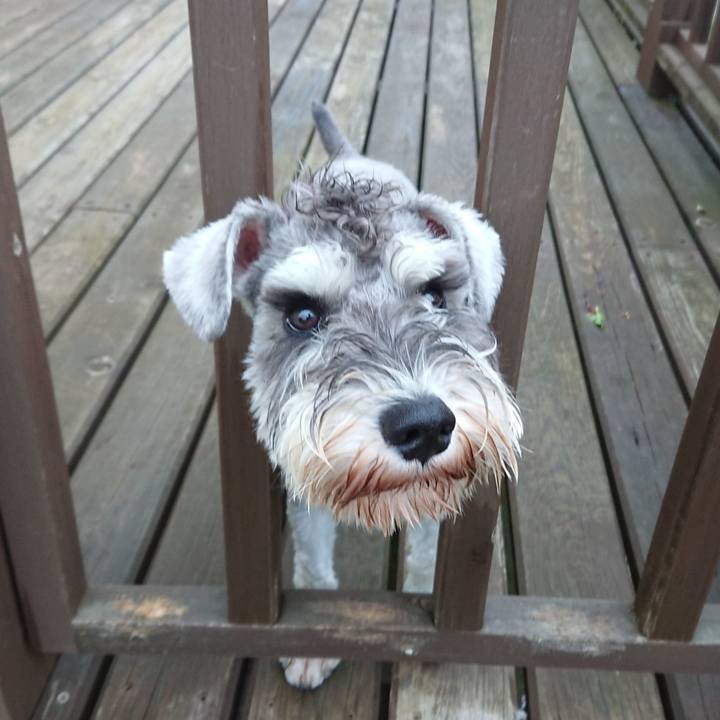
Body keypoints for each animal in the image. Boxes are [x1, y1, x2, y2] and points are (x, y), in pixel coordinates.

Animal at [163, 102, 522, 689]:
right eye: (302, 315)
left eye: (434, 294)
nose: (425, 425)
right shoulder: (305, 491)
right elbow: (312, 560)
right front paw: (311, 645)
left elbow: (427, 554)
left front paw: (426, 603)